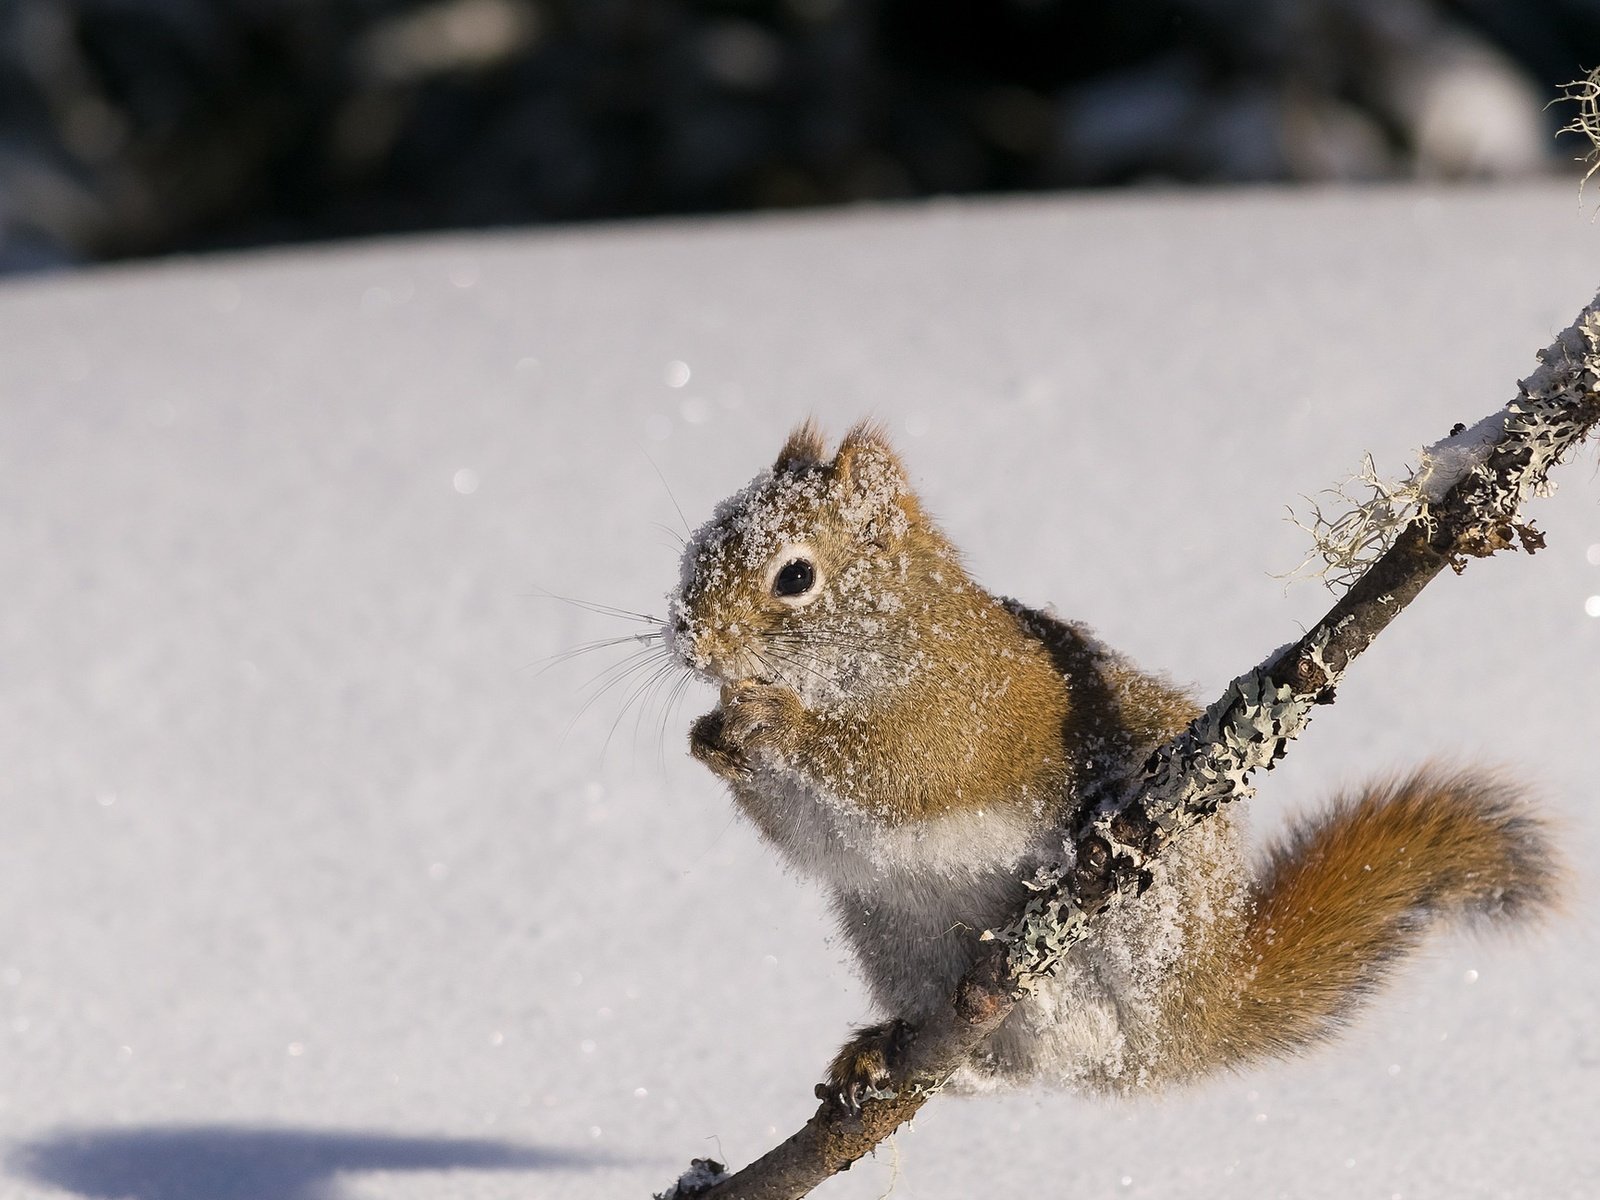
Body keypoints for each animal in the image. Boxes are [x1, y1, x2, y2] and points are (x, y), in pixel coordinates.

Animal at [662, 419, 1561, 1107]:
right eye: (697, 549)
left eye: (796, 575)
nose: (689, 637)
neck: (897, 636)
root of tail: (1199, 1018)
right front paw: (711, 736)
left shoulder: (960, 717)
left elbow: (891, 771)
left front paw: (775, 723)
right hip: (892, 938)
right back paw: (884, 1052)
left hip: (1126, 940)